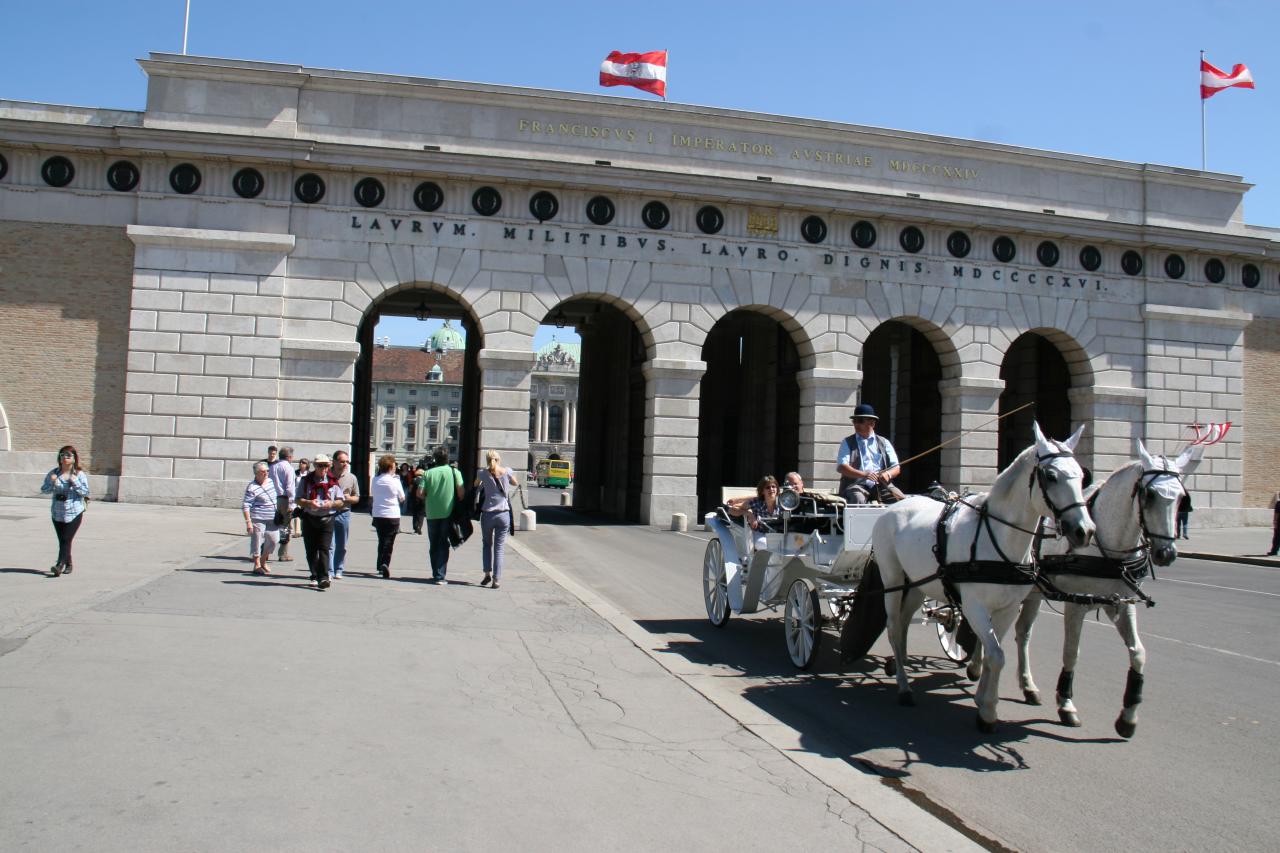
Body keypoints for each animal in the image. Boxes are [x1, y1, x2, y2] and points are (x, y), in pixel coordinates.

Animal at [870, 422, 1090, 727]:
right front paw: (988, 712)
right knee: (892, 626)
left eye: (1081, 475)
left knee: (902, 624)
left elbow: (992, 653)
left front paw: (982, 698)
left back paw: (897, 664)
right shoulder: (974, 606)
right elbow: (996, 655)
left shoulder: (1008, 608)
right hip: (892, 578)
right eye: (1050, 476)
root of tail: (894, 506)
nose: (1084, 531)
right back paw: (903, 687)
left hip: (917, 584)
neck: (999, 538)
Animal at [993, 440, 1192, 732]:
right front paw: (1066, 703)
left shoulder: (1122, 604)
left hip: (1033, 593)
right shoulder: (1076, 604)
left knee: (1022, 633)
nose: (1166, 553)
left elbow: (1139, 653)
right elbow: (1071, 653)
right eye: (1150, 494)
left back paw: (1027, 685)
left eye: (1180, 497)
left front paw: (1128, 715)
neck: (1108, 549)